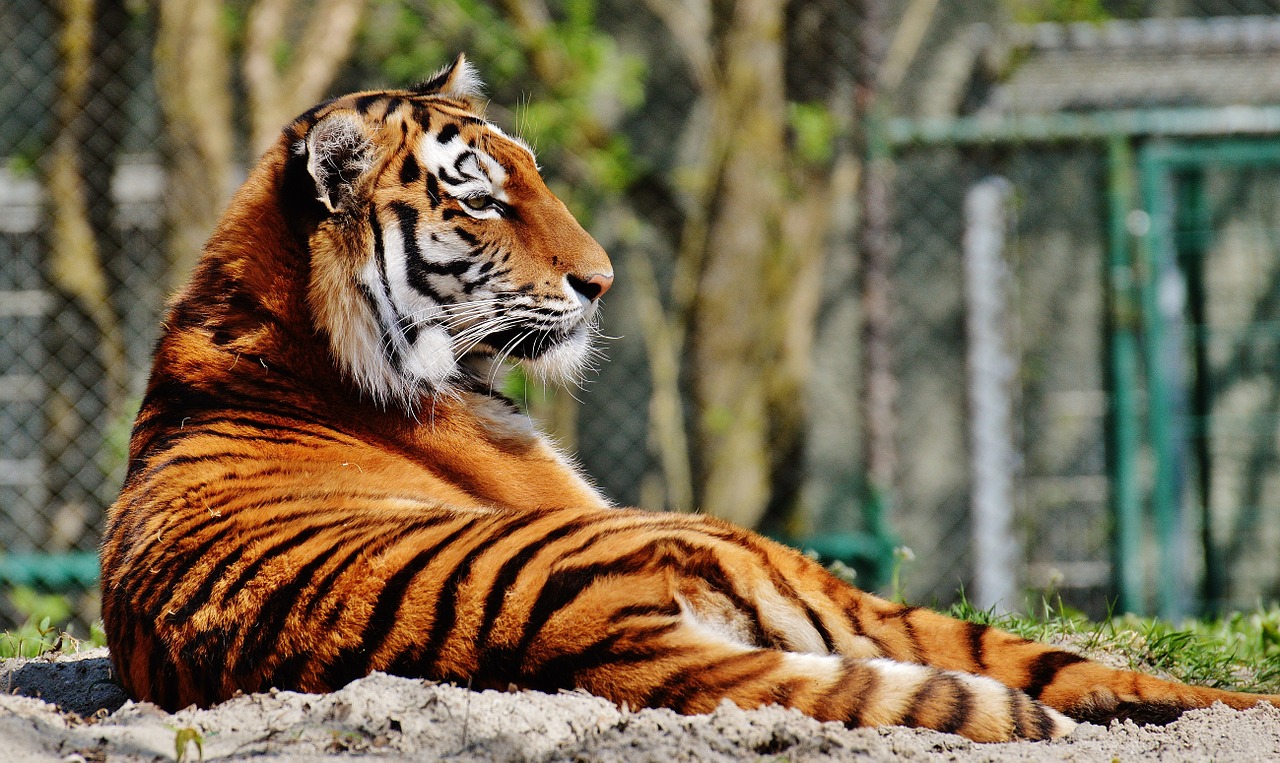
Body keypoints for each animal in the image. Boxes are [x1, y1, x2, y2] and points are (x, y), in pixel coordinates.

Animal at [102, 55, 1280, 747]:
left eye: (533, 173)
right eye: (481, 200)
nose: (602, 279)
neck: (282, 322)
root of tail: (570, 634)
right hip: (753, 553)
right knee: (1040, 661)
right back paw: (1236, 710)